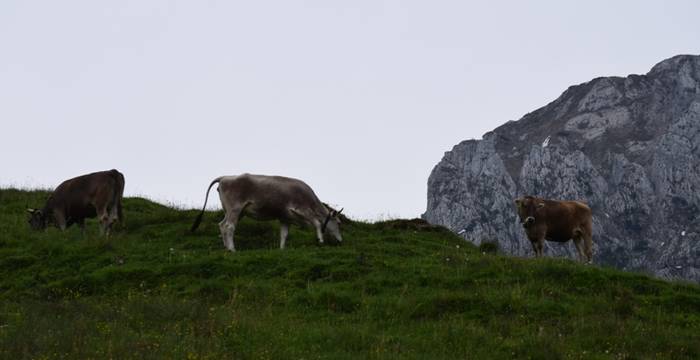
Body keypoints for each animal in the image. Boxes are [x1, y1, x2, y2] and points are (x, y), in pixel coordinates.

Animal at [190, 173, 344, 252]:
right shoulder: (302, 209)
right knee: (229, 226)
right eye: (338, 222)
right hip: (235, 208)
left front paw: (282, 249)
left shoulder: (285, 217)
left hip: (232, 211)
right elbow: (317, 223)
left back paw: (226, 247)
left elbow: (284, 234)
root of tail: (224, 177)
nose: (341, 240)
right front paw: (321, 240)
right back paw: (233, 249)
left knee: (222, 225)